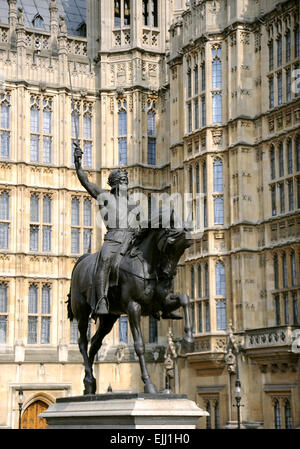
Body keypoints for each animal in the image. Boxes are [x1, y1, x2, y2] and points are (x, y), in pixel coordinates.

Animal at [66, 223, 193, 392]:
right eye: (170, 245)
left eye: (184, 248)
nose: (168, 274)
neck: (148, 264)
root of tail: (82, 259)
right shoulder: (133, 307)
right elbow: (139, 345)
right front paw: (148, 384)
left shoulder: (163, 301)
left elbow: (185, 299)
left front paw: (188, 340)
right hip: (82, 312)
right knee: (82, 342)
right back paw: (89, 379)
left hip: (109, 318)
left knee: (95, 343)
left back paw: (89, 383)